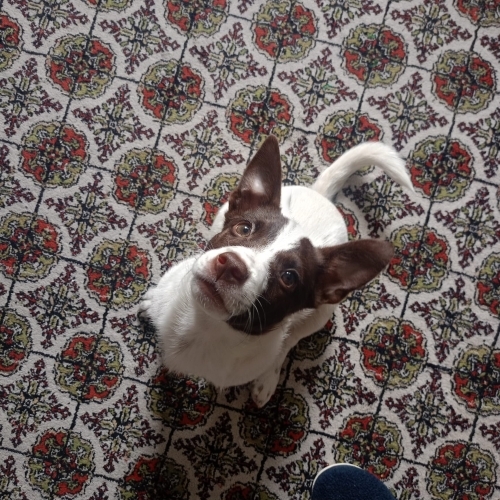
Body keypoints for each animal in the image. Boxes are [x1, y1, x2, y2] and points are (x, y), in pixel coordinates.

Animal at [139, 136, 413, 407]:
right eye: (244, 228)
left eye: (289, 277)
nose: (231, 265)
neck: (204, 325)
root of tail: (321, 195)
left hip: (320, 314)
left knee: (289, 341)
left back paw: (268, 379)